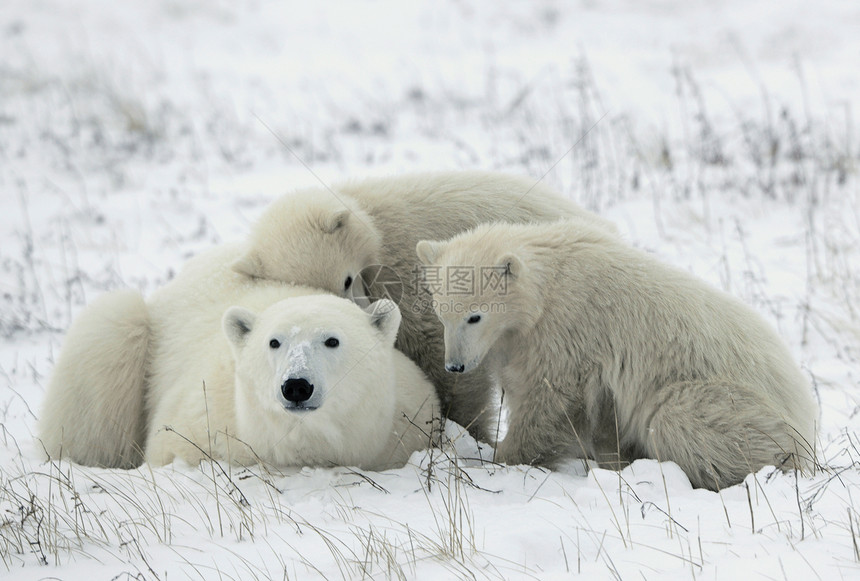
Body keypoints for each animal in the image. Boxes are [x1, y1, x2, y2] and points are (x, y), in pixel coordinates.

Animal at [232, 170, 616, 442]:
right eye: (311, 292)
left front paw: (464, 431)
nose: (358, 314)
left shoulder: (410, 273)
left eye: (346, 279)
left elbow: (445, 357)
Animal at [416, 221, 820, 490]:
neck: (548, 285)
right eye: (441, 311)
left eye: (475, 315)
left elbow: (551, 400)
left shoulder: (566, 330)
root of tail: (805, 415)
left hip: (735, 403)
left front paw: (501, 459)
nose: (456, 365)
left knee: (677, 418)